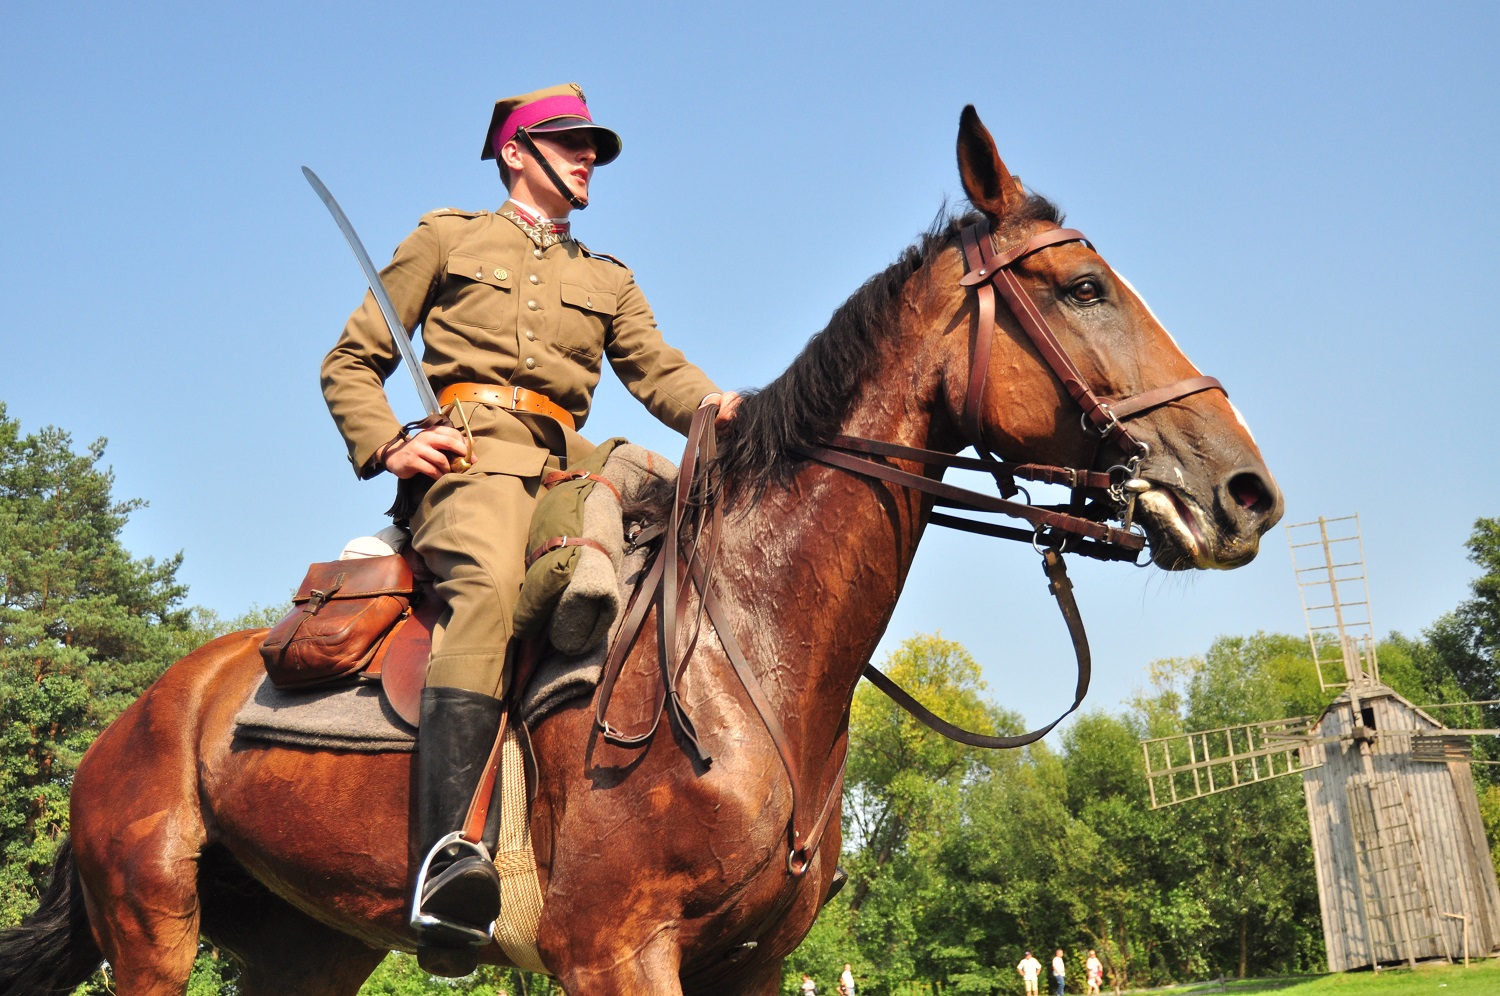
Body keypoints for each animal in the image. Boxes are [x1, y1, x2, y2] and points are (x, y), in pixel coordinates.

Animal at [5, 108, 1284, 996]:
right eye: (1083, 286)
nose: (1246, 492)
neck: (744, 655)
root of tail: (142, 711)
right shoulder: (616, 952)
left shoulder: (749, 965)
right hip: (153, 935)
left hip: (306, 951)